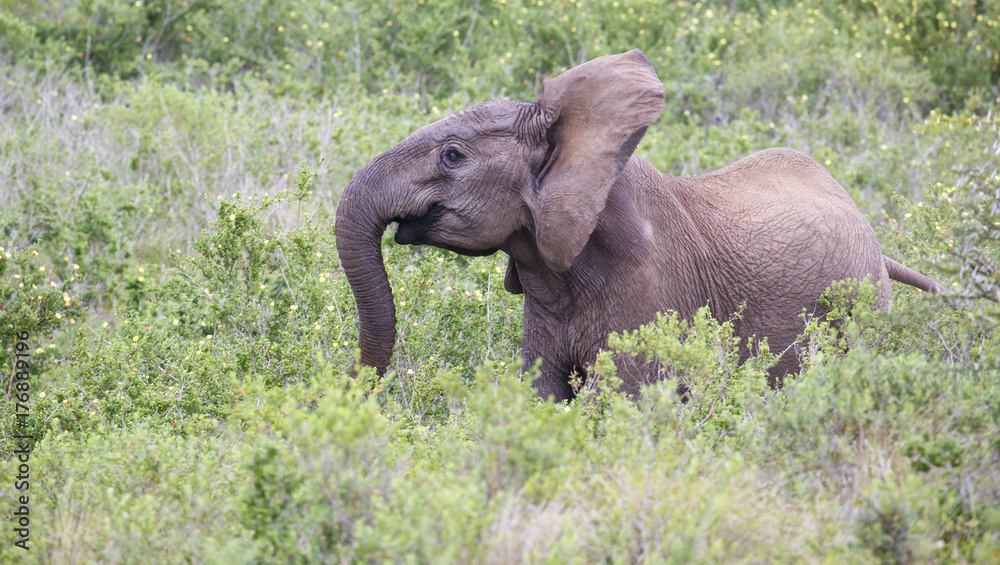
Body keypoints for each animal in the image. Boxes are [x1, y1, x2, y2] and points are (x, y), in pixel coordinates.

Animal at [335, 49, 942, 402]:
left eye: (453, 156)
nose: (345, 394)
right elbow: (544, 394)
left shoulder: (649, 291)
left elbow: (623, 401)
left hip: (863, 309)